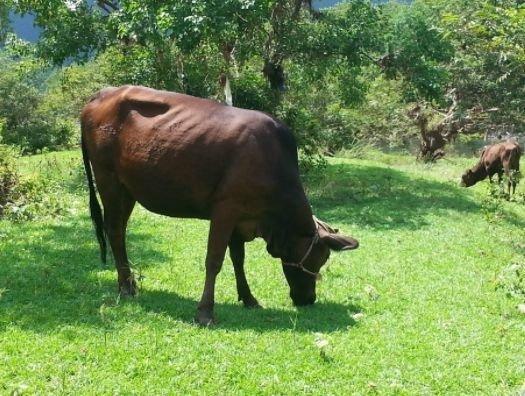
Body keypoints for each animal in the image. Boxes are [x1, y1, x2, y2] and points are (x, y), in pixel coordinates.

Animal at [82, 86, 358, 324]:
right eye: (319, 259)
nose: (308, 300)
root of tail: (102, 94)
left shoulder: (241, 218)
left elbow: (238, 259)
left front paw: (248, 299)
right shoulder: (226, 209)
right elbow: (214, 260)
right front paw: (205, 312)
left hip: (128, 189)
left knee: (119, 230)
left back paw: (129, 282)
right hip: (108, 180)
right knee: (114, 231)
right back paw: (126, 288)